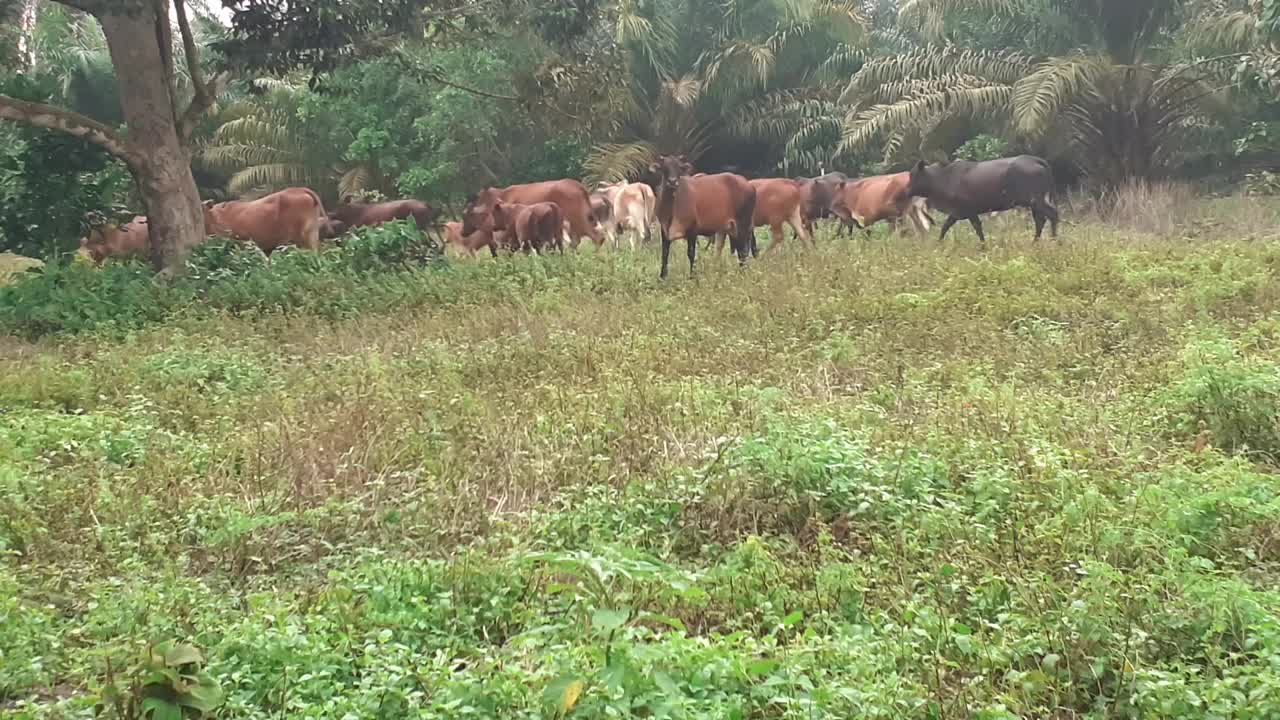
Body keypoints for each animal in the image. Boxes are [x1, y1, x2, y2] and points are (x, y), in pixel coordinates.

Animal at [911, 154, 1059, 243]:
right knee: (1040, 220)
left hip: (1036, 200)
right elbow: (946, 227)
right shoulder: (959, 213)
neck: (941, 178)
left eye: (913, 175)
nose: (908, 189)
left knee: (1052, 215)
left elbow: (976, 229)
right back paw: (1035, 242)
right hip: (1034, 203)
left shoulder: (967, 211)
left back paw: (1054, 240)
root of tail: (1035, 159)